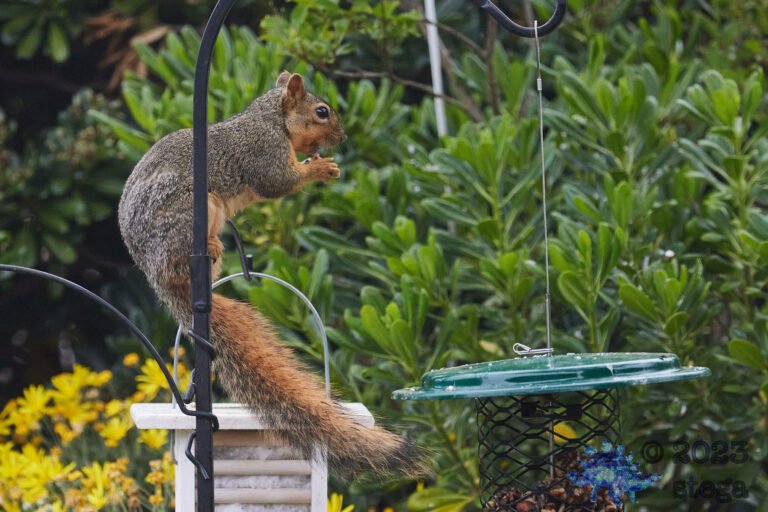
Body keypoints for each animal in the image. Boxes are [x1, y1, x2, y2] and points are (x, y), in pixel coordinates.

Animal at [118, 71, 425, 478]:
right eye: (322, 111)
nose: (342, 138)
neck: (272, 120)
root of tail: (156, 276)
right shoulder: (263, 152)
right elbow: (278, 181)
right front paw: (321, 168)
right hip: (182, 212)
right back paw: (207, 246)